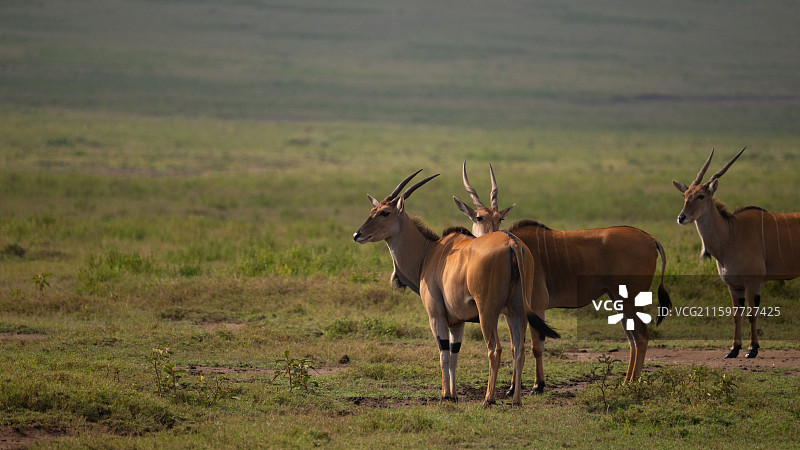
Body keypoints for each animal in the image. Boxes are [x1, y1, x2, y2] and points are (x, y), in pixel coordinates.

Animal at [353, 170, 559, 406]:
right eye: (372, 210)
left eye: (385, 212)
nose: (357, 234)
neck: (429, 252)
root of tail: (512, 244)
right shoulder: (457, 322)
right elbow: (454, 353)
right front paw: (453, 394)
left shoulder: (437, 316)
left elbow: (443, 353)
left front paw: (445, 395)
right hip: (516, 312)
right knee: (519, 350)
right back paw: (516, 400)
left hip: (488, 313)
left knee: (495, 349)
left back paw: (488, 399)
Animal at [454, 162, 671, 383]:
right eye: (479, 217)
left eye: (500, 218)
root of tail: (650, 238)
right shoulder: (510, 312)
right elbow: (516, 347)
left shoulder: (537, 306)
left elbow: (536, 347)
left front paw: (538, 384)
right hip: (619, 298)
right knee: (632, 338)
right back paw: (627, 380)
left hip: (630, 299)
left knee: (641, 336)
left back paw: (632, 382)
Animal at [673, 148, 800, 358]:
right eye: (685, 195)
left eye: (701, 196)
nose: (681, 217)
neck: (730, 235)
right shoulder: (734, 286)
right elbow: (735, 315)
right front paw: (733, 349)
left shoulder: (753, 282)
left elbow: (751, 314)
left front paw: (752, 349)